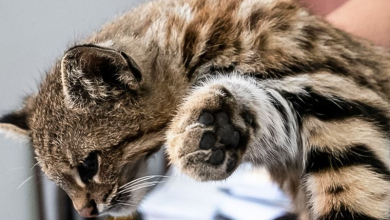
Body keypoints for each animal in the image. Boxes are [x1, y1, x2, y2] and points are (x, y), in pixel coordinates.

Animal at [0, 0, 390, 219]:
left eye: (88, 166)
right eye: (56, 180)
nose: (85, 212)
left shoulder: (342, 95)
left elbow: (351, 194)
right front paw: (213, 128)